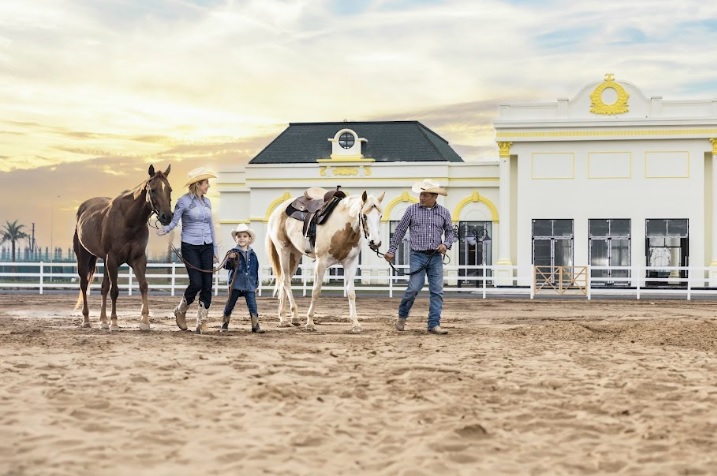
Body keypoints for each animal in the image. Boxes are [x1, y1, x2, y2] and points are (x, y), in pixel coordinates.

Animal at [73, 164, 173, 330]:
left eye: (169, 189)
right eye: (153, 190)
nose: (167, 216)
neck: (128, 220)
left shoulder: (138, 259)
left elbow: (143, 286)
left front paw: (145, 321)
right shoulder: (113, 259)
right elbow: (115, 291)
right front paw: (114, 321)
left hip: (104, 259)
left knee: (103, 287)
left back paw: (103, 321)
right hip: (84, 256)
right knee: (84, 285)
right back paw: (86, 320)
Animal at [266, 189, 384, 330]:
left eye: (380, 216)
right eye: (365, 216)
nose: (375, 242)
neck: (342, 225)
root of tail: (277, 211)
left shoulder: (350, 263)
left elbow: (351, 292)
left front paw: (355, 323)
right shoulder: (321, 263)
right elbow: (316, 291)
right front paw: (310, 322)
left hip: (294, 255)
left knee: (284, 281)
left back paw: (288, 318)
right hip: (283, 250)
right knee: (286, 281)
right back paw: (289, 317)